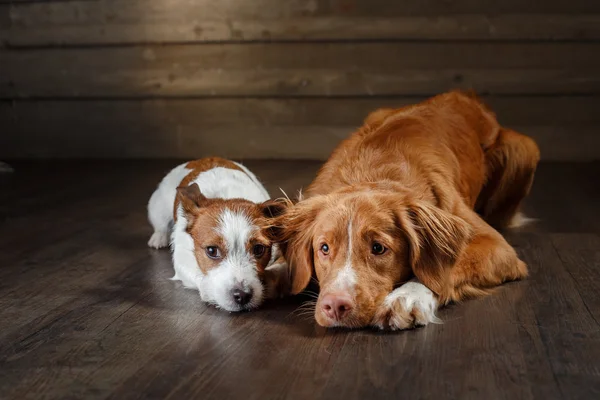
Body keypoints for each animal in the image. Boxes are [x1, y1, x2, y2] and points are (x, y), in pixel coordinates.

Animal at [145, 158, 286, 310]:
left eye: (258, 249)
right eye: (212, 250)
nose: (242, 295)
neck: (227, 197)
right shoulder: (182, 258)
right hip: (157, 207)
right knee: (160, 223)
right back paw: (159, 237)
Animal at [272, 92, 540, 330]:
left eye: (378, 248)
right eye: (324, 248)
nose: (335, 306)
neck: (372, 173)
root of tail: (466, 96)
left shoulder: (497, 245)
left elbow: (444, 270)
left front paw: (407, 298)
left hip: (524, 149)